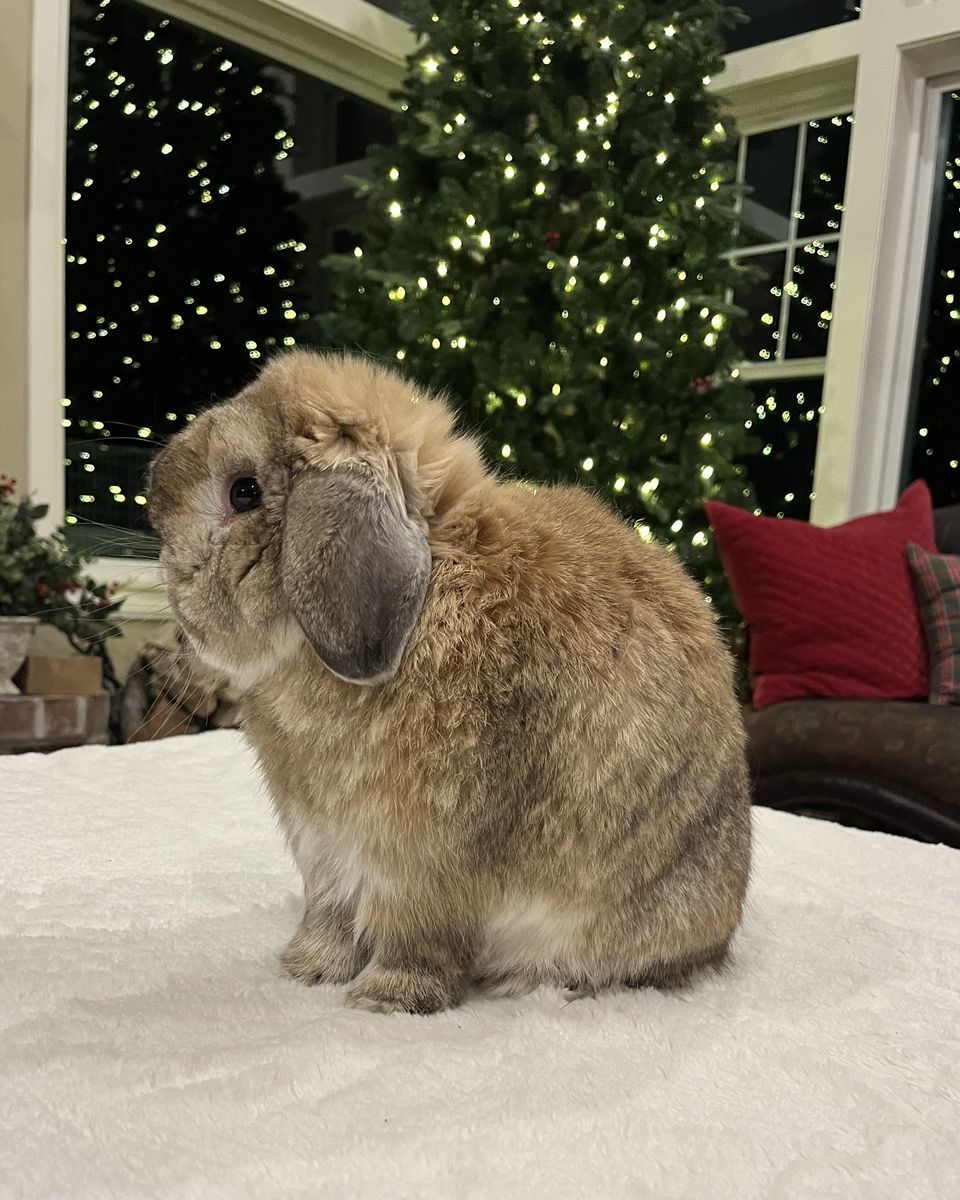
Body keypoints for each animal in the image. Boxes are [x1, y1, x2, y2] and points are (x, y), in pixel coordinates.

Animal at [149, 350, 751, 1014]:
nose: (152, 501)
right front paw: (306, 971)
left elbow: (417, 937)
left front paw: (383, 1000)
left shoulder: (421, 861)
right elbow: (330, 918)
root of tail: (723, 929)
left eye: (244, 491)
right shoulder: (325, 854)